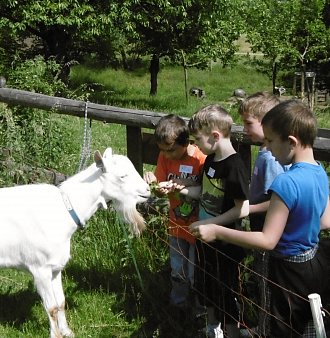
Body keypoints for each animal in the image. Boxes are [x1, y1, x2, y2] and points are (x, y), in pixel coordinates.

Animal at [0, 149, 151, 338]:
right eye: (122, 176)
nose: (148, 190)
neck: (64, 209)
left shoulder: (55, 268)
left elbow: (61, 302)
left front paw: (67, 332)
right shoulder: (40, 269)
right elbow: (51, 308)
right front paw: (56, 334)